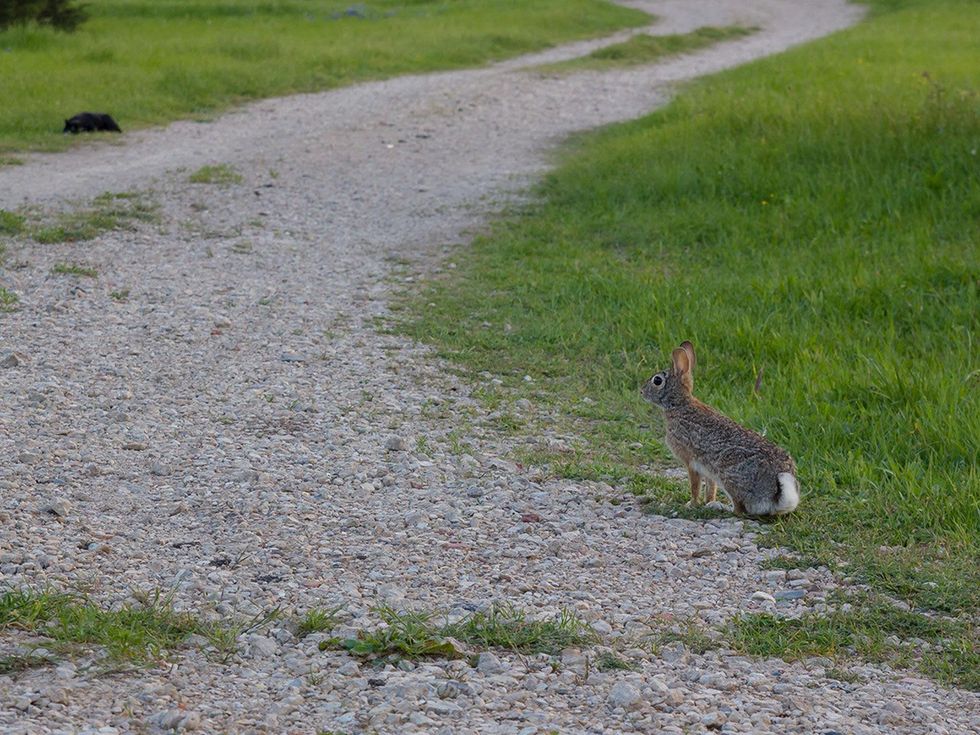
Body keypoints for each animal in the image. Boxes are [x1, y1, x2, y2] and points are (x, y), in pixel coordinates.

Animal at [641, 341, 799, 516]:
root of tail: (774, 494)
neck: (679, 404)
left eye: (657, 380)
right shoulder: (707, 470)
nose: (642, 391)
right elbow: (710, 487)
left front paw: (691, 504)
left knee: (739, 509)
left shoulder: (690, 461)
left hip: (728, 475)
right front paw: (707, 500)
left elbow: (695, 486)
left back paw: (721, 507)